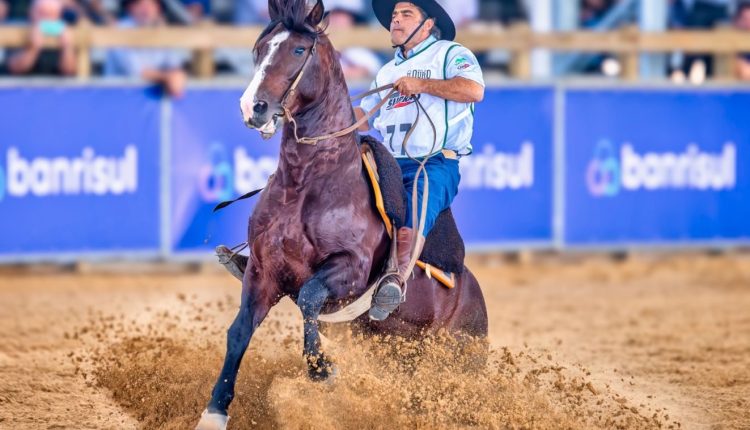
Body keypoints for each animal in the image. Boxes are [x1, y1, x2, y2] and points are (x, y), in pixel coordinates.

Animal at [195, 0, 488, 426]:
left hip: (462, 355)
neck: (307, 186)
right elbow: (238, 332)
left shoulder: (350, 269)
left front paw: (322, 369)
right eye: (259, 49)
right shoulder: (263, 271)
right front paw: (215, 411)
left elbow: (309, 299)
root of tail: (473, 294)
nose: (253, 107)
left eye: (299, 50)